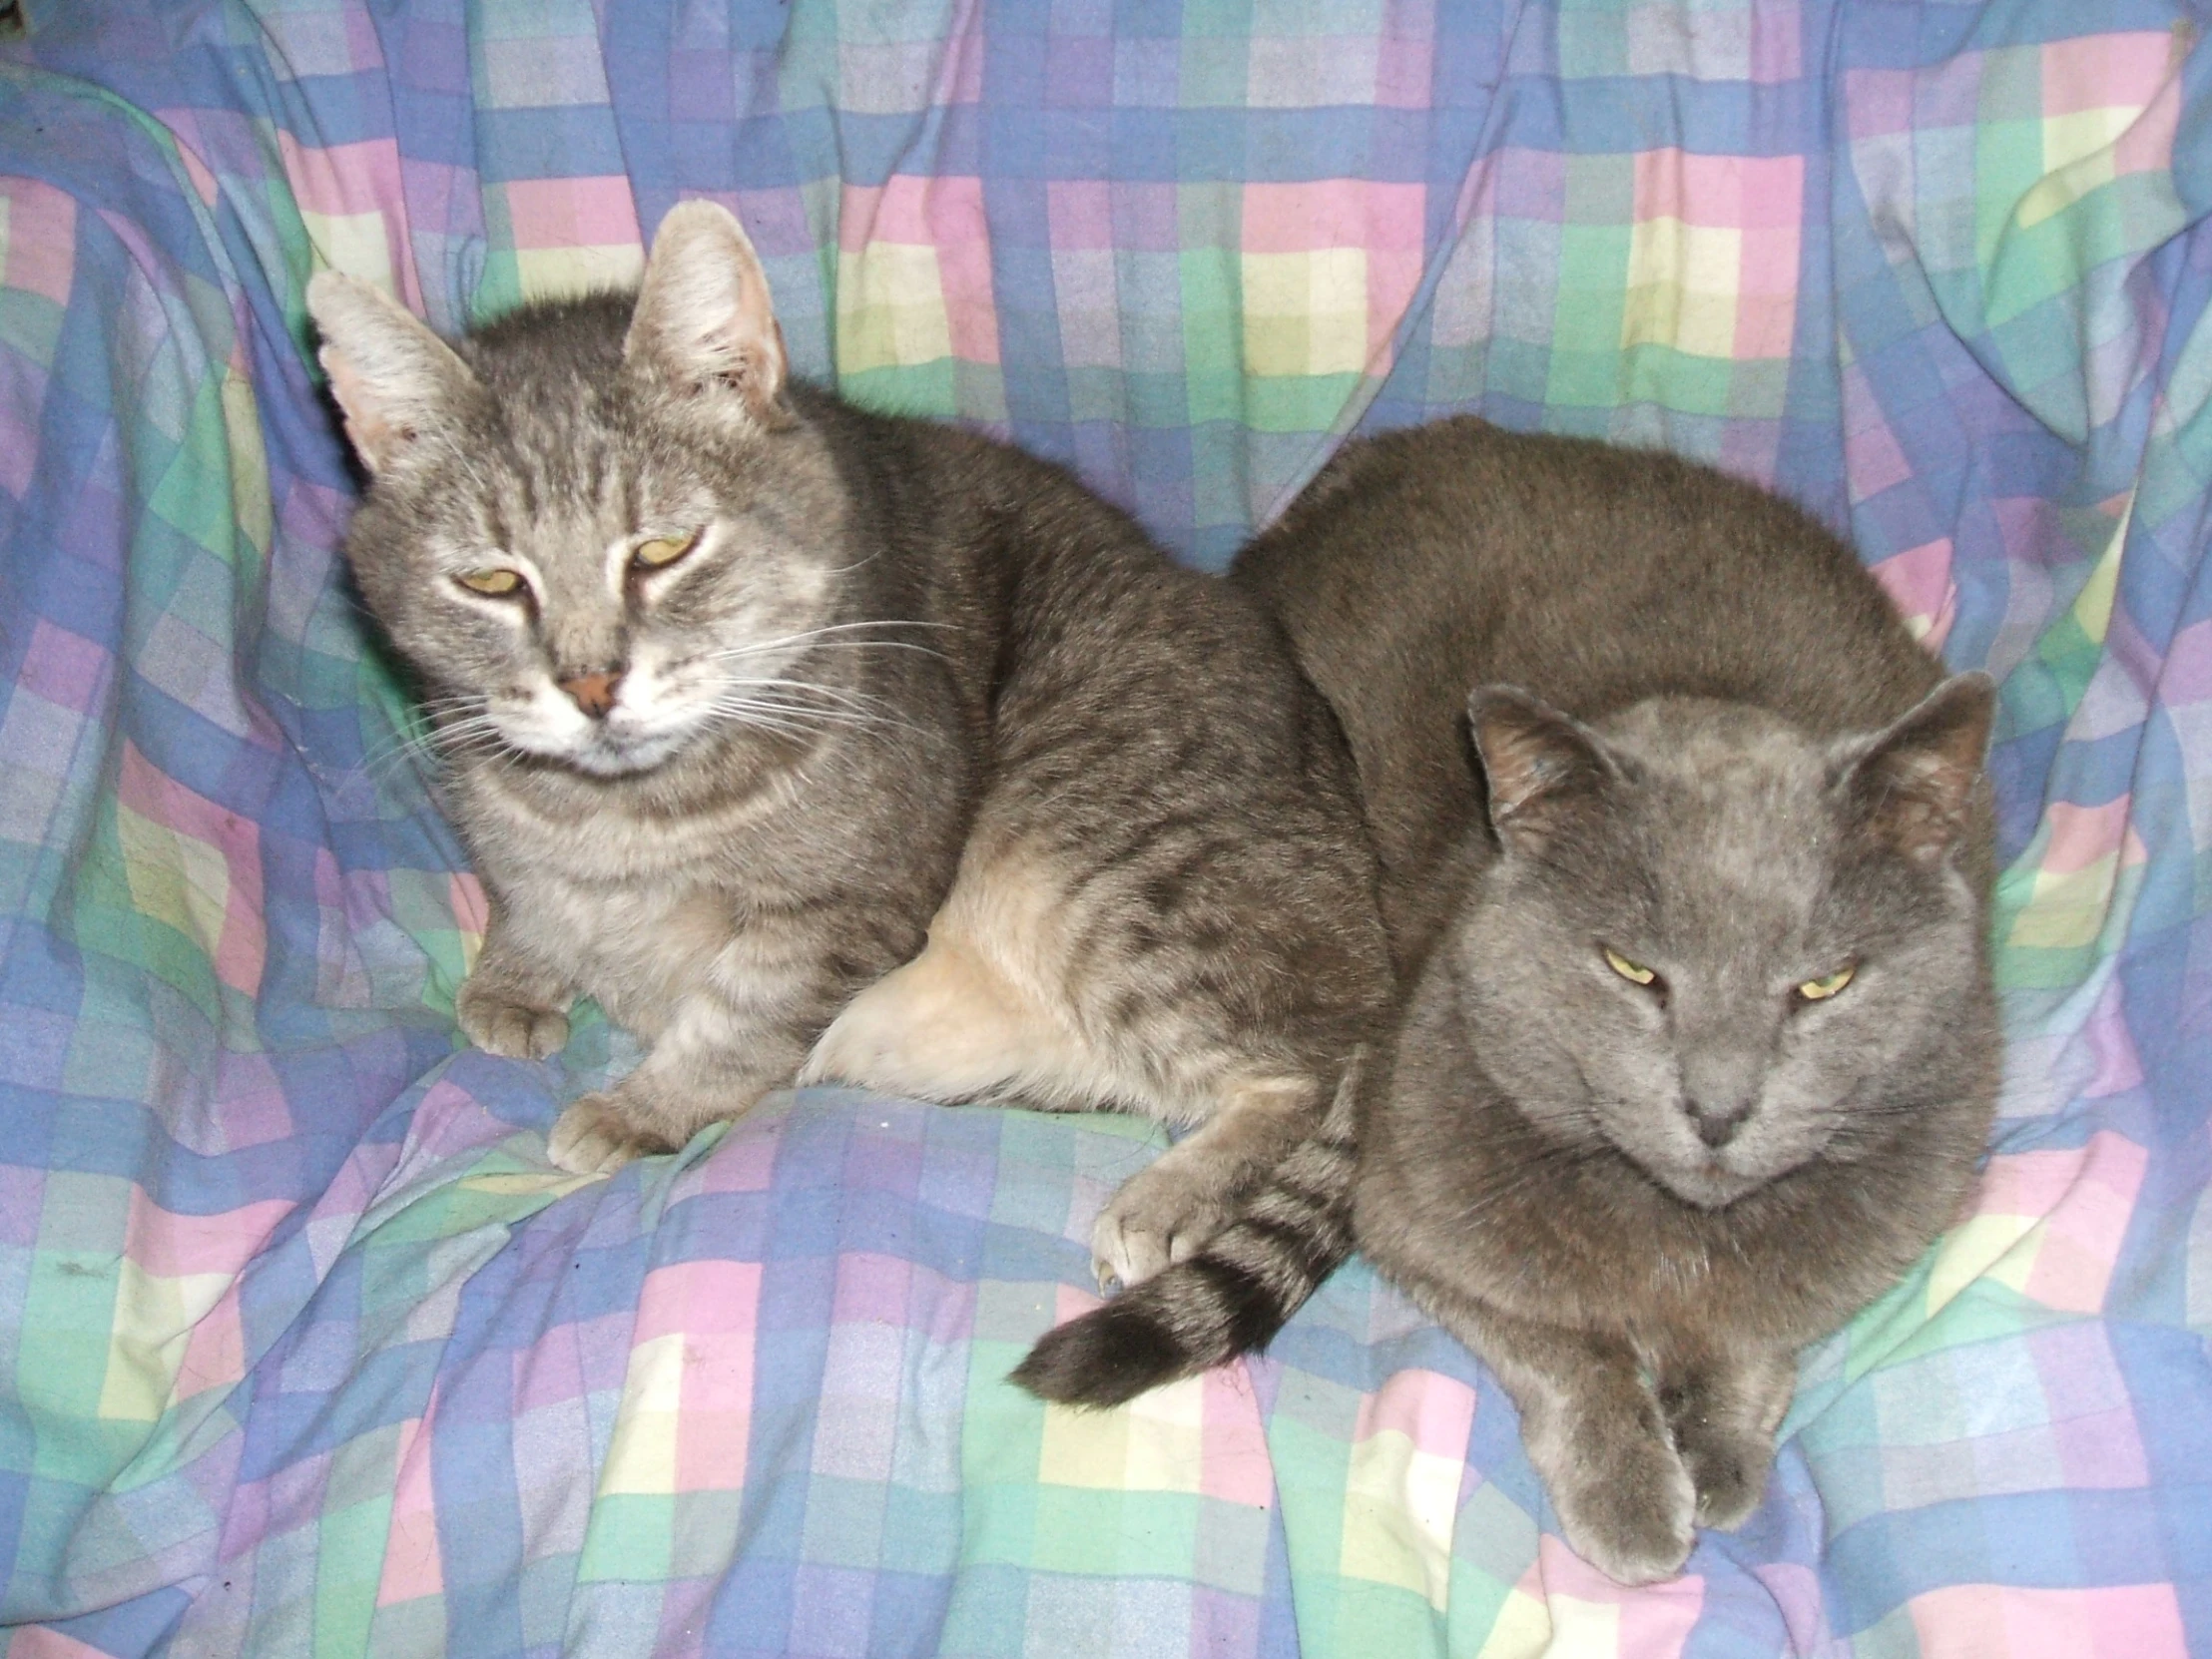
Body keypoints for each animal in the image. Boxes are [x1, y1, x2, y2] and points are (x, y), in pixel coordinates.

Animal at [309, 201, 1380, 1292]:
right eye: (490, 581)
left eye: (662, 550)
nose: (591, 685)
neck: (614, 819)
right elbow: (525, 896)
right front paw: (514, 977)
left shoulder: (843, 908)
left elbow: (736, 1018)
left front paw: (641, 1106)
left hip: (1110, 872)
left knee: (1309, 1068)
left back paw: (1165, 1197)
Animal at [1017, 415, 2008, 1583]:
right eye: (1634, 971)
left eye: (1823, 983)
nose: (1718, 1109)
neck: (1675, 1239)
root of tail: (1394, 448)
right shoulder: (1414, 1221)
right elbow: (1565, 1350)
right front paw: (1635, 1499)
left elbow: (1765, 1333)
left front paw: (1720, 1449)